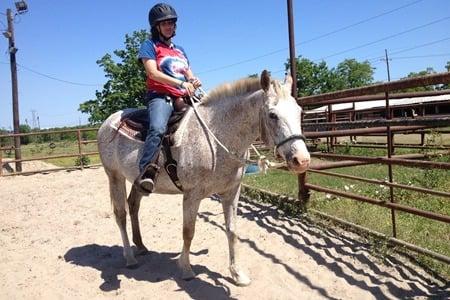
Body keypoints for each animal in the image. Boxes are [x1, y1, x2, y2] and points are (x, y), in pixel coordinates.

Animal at [97, 70, 312, 286]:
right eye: (272, 115)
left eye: (300, 112)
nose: (301, 160)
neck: (216, 139)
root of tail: (108, 122)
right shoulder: (192, 195)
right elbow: (188, 232)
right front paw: (186, 269)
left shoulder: (231, 192)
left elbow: (232, 230)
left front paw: (237, 274)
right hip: (114, 176)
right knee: (121, 214)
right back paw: (130, 258)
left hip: (138, 181)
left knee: (133, 206)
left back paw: (141, 246)